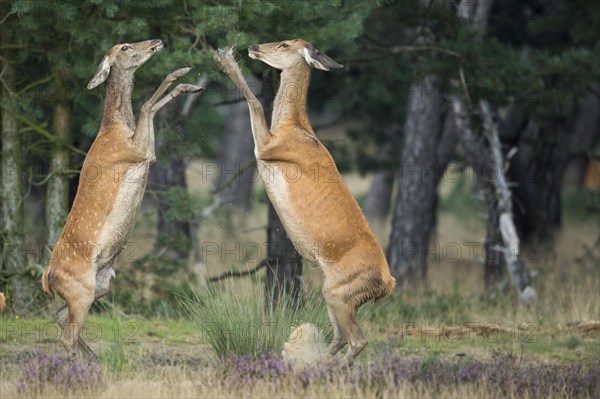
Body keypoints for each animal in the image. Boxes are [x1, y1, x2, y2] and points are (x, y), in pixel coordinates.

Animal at [41, 40, 204, 360]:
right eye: (125, 47)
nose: (156, 42)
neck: (116, 128)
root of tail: (48, 277)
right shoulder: (136, 152)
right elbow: (145, 105)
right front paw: (182, 72)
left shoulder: (147, 153)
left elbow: (149, 107)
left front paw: (189, 84)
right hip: (81, 289)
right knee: (66, 335)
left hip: (103, 282)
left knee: (58, 315)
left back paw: (94, 359)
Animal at [214, 39, 394, 368]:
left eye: (284, 44)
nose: (254, 46)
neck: (293, 127)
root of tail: (388, 283)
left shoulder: (268, 147)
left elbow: (256, 103)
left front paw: (224, 59)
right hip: (333, 292)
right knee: (340, 336)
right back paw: (313, 362)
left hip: (340, 291)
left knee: (357, 340)